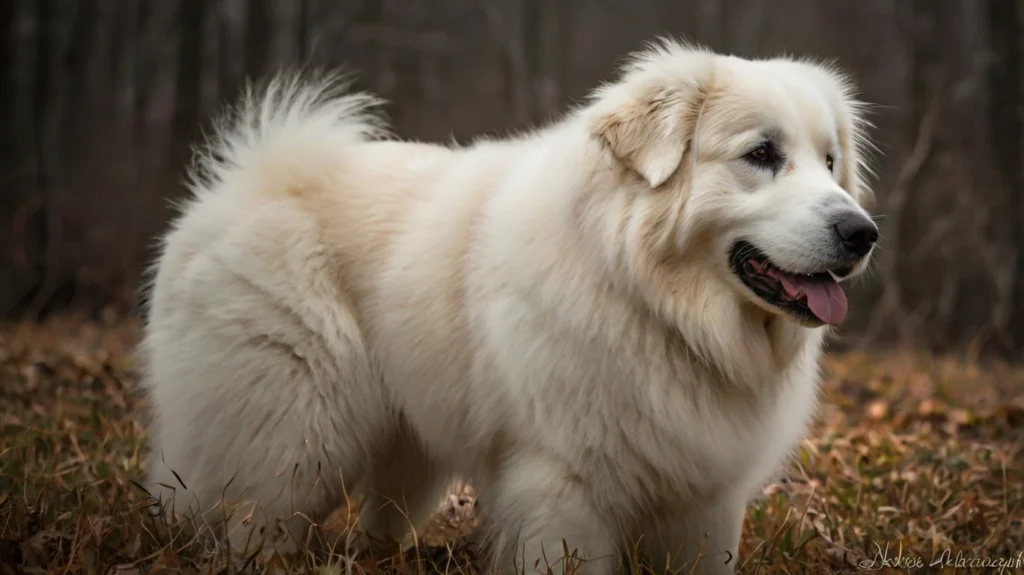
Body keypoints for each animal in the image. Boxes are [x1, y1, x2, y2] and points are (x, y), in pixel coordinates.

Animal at [140, 40, 876, 572]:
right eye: (762, 153)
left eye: (829, 161)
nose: (861, 232)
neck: (653, 305)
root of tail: (252, 177)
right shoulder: (565, 489)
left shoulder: (704, 503)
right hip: (297, 444)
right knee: (250, 525)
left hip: (404, 462)